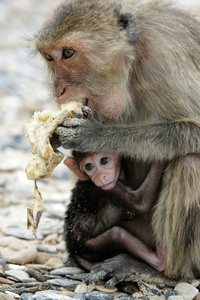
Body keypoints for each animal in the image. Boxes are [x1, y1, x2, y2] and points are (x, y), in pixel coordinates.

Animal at [34, 0, 200, 282]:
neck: (131, 65)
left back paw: (161, 270)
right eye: (49, 57)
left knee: (189, 164)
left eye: (68, 53)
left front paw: (97, 135)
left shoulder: (165, 58)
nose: (58, 90)